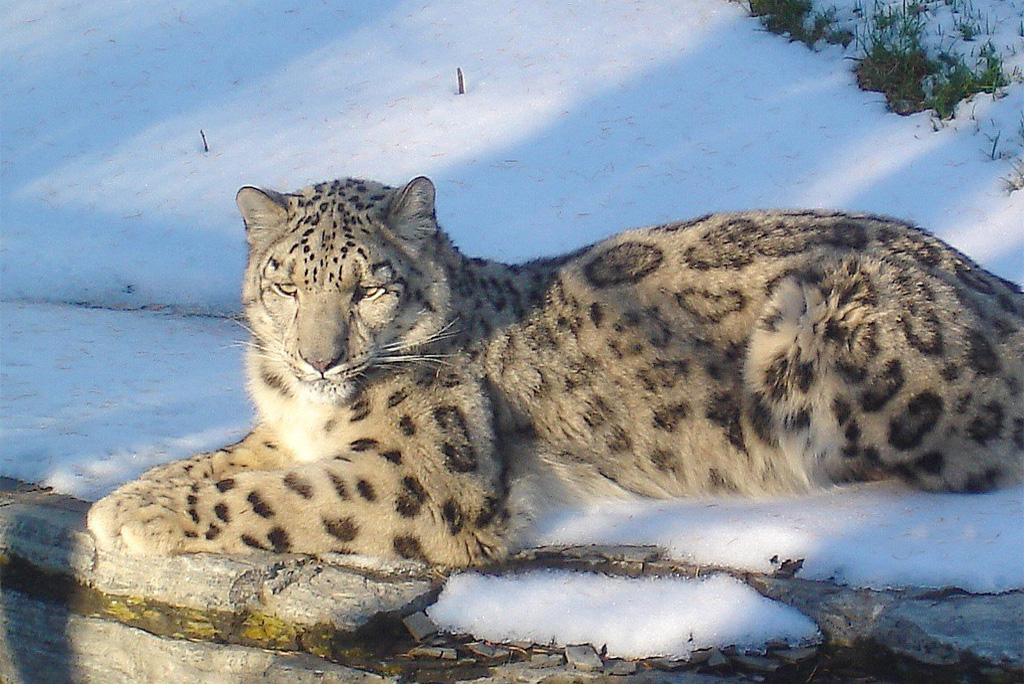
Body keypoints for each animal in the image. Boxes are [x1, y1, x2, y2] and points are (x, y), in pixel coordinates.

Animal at [88, 176, 1024, 567]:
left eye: (367, 286)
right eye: (289, 283)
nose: (322, 357)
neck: (305, 408)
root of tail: (994, 282)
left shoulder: (420, 478)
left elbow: (268, 497)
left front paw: (128, 516)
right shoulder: (279, 431)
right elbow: (216, 462)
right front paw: (122, 497)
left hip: (823, 339)